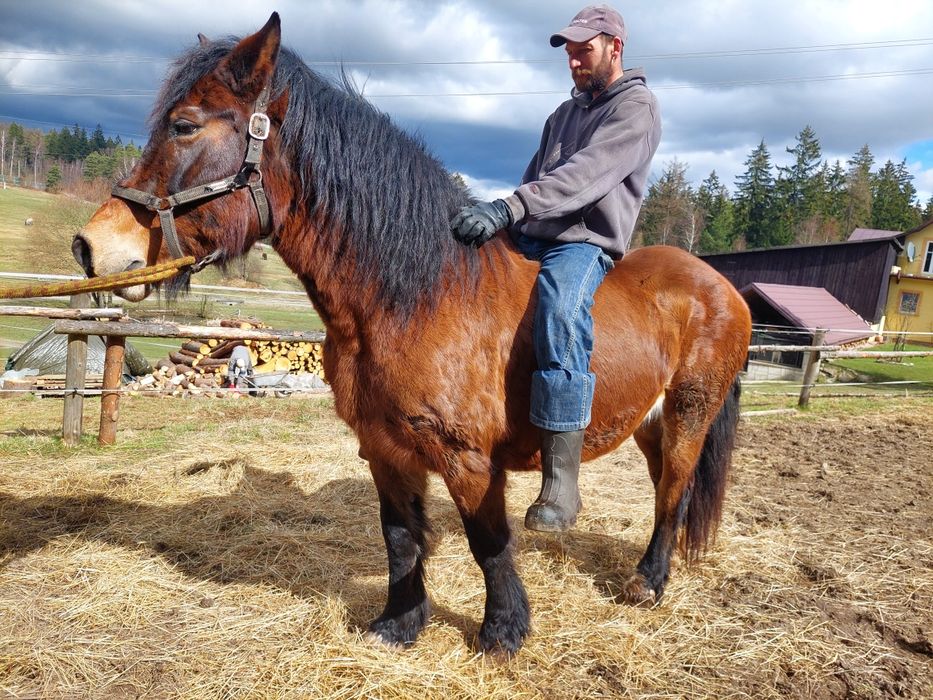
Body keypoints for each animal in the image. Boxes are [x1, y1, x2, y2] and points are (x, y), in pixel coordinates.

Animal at [76, 12, 752, 656]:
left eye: (185, 126)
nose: (91, 247)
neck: (417, 298)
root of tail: (721, 286)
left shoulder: (468, 458)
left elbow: (488, 542)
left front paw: (504, 632)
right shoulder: (384, 447)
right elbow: (400, 538)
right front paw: (399, 625)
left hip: (690, 413)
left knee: (673, 491)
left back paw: (649, 582)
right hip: (648, 420)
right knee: (666, 489)